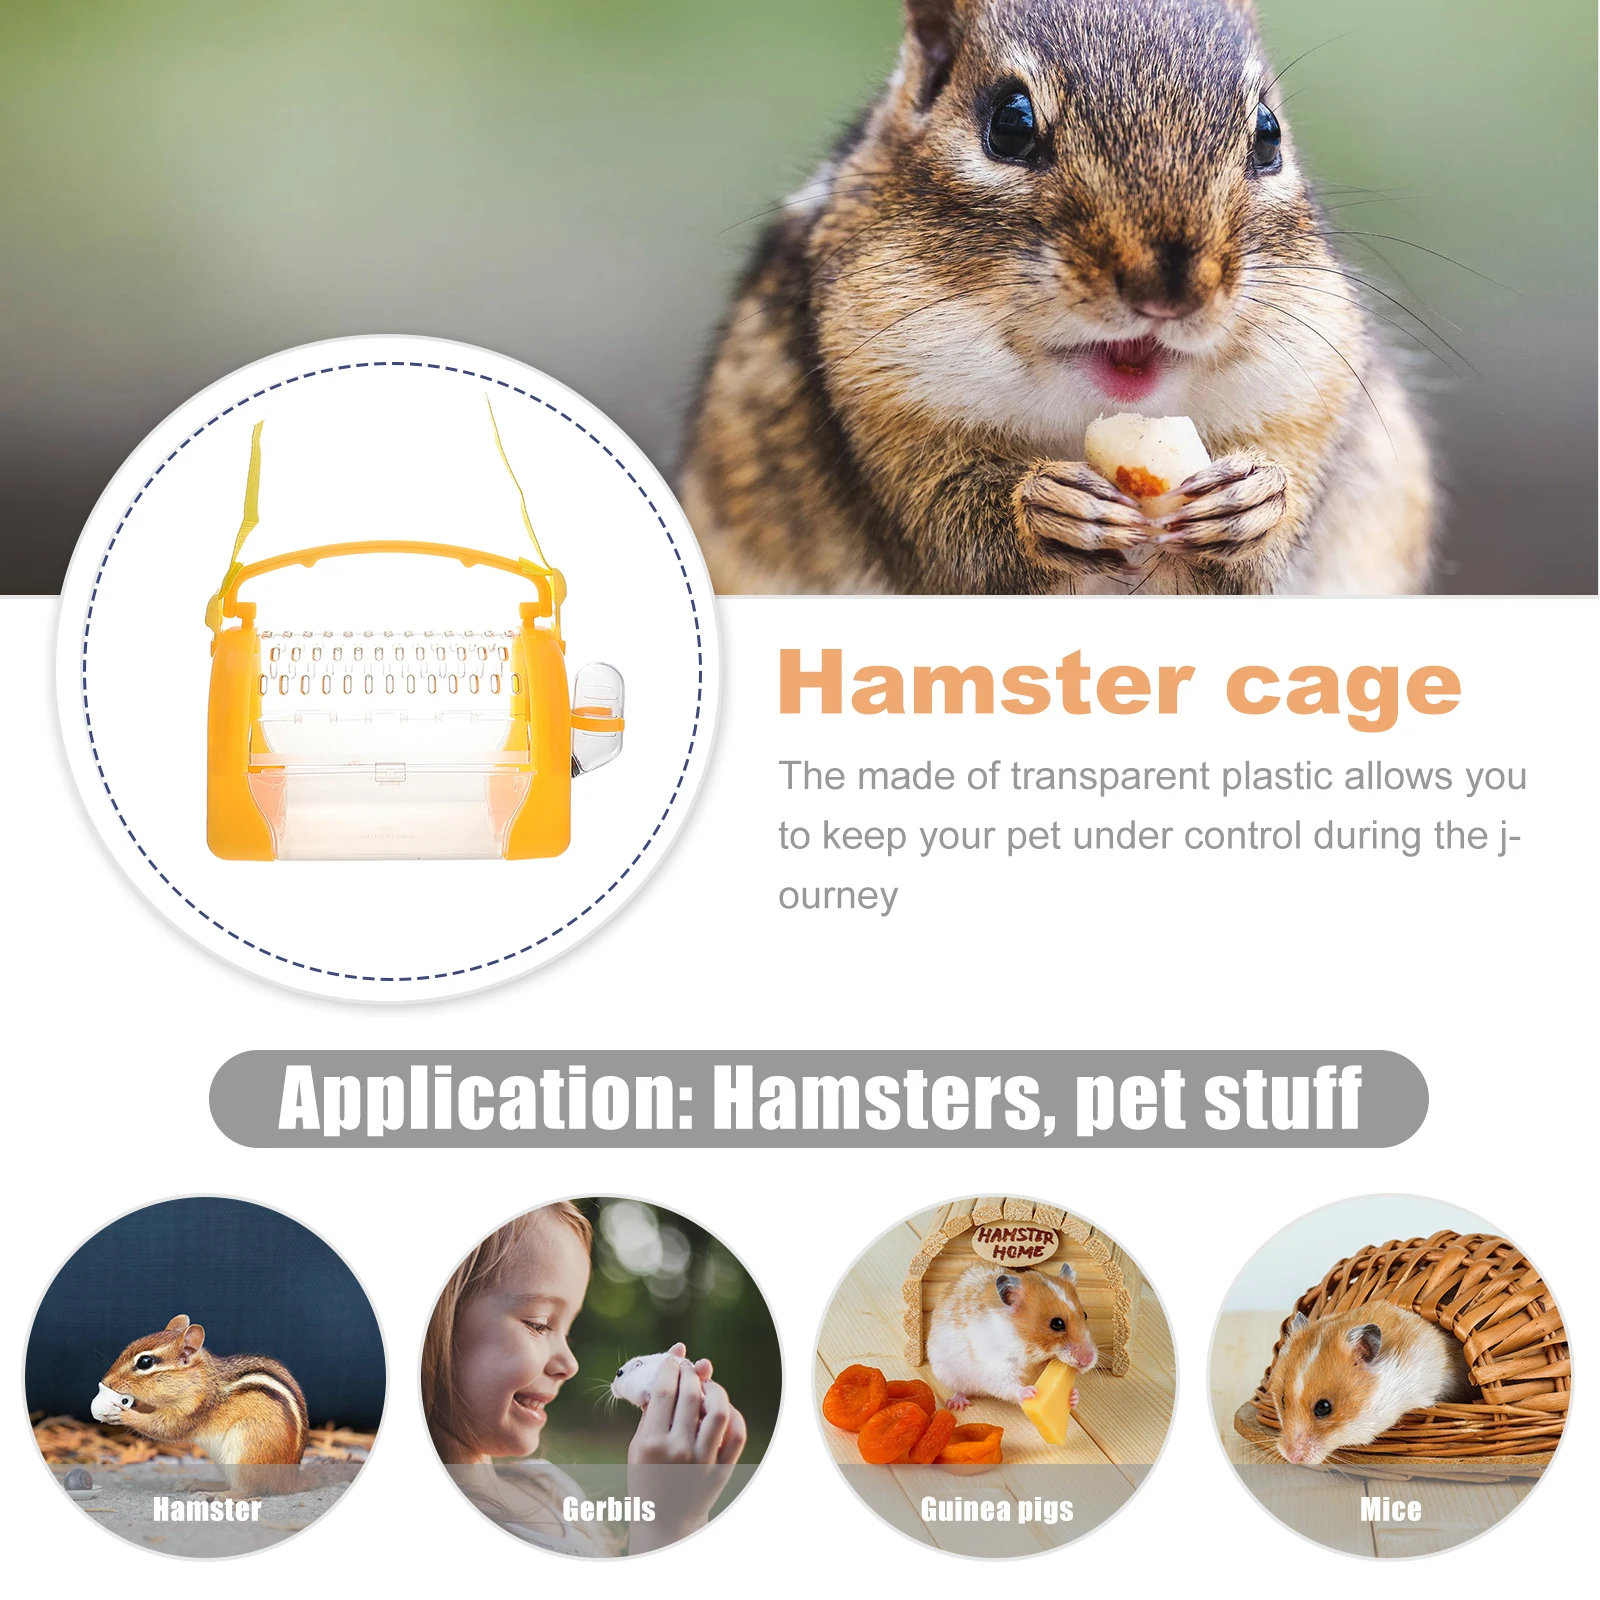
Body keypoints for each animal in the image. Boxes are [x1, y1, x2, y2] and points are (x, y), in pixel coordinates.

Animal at [682, 0, 1434, 597]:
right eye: (1009, 125)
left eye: (1269, 133)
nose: (1169, 291)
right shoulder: (875, 402)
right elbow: (950, 530)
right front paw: (1045, 508)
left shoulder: (1312, 386)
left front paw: (1256, 497)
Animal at [927, 1263, 1098, 1409]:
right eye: (1057, 1323)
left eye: (1085, 1314)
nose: (1088, 1361)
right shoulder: (995, 1365)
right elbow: (1007, 1385)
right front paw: (1030, 1393)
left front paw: (1074, 1396)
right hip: (948, 1373)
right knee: (960, 1390)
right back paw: (957, 1404)